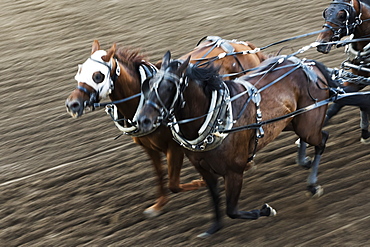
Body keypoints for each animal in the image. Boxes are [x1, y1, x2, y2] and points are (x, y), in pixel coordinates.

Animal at [64, 37, 266, 217]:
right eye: (79, 72)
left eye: (98, 76)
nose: (72, 104)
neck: (141, 100)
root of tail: (242, 46)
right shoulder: (149, 148)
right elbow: (160, 176)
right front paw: (158, 205)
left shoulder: (175, 148)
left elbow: (174, 184)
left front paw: (201, 182)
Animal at [137, 51, 332, 236]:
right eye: (146, 85)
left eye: (169, 87)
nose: (142, 120)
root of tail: (308, 64)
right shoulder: (204, 169)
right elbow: (216, 198)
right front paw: (214, 228)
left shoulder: (234, 172)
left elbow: (232, 210)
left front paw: (266, 210)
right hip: (291, 122)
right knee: (313, 137)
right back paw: (304, 161)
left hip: (308, 124)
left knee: (322, 140)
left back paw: (312, 184)